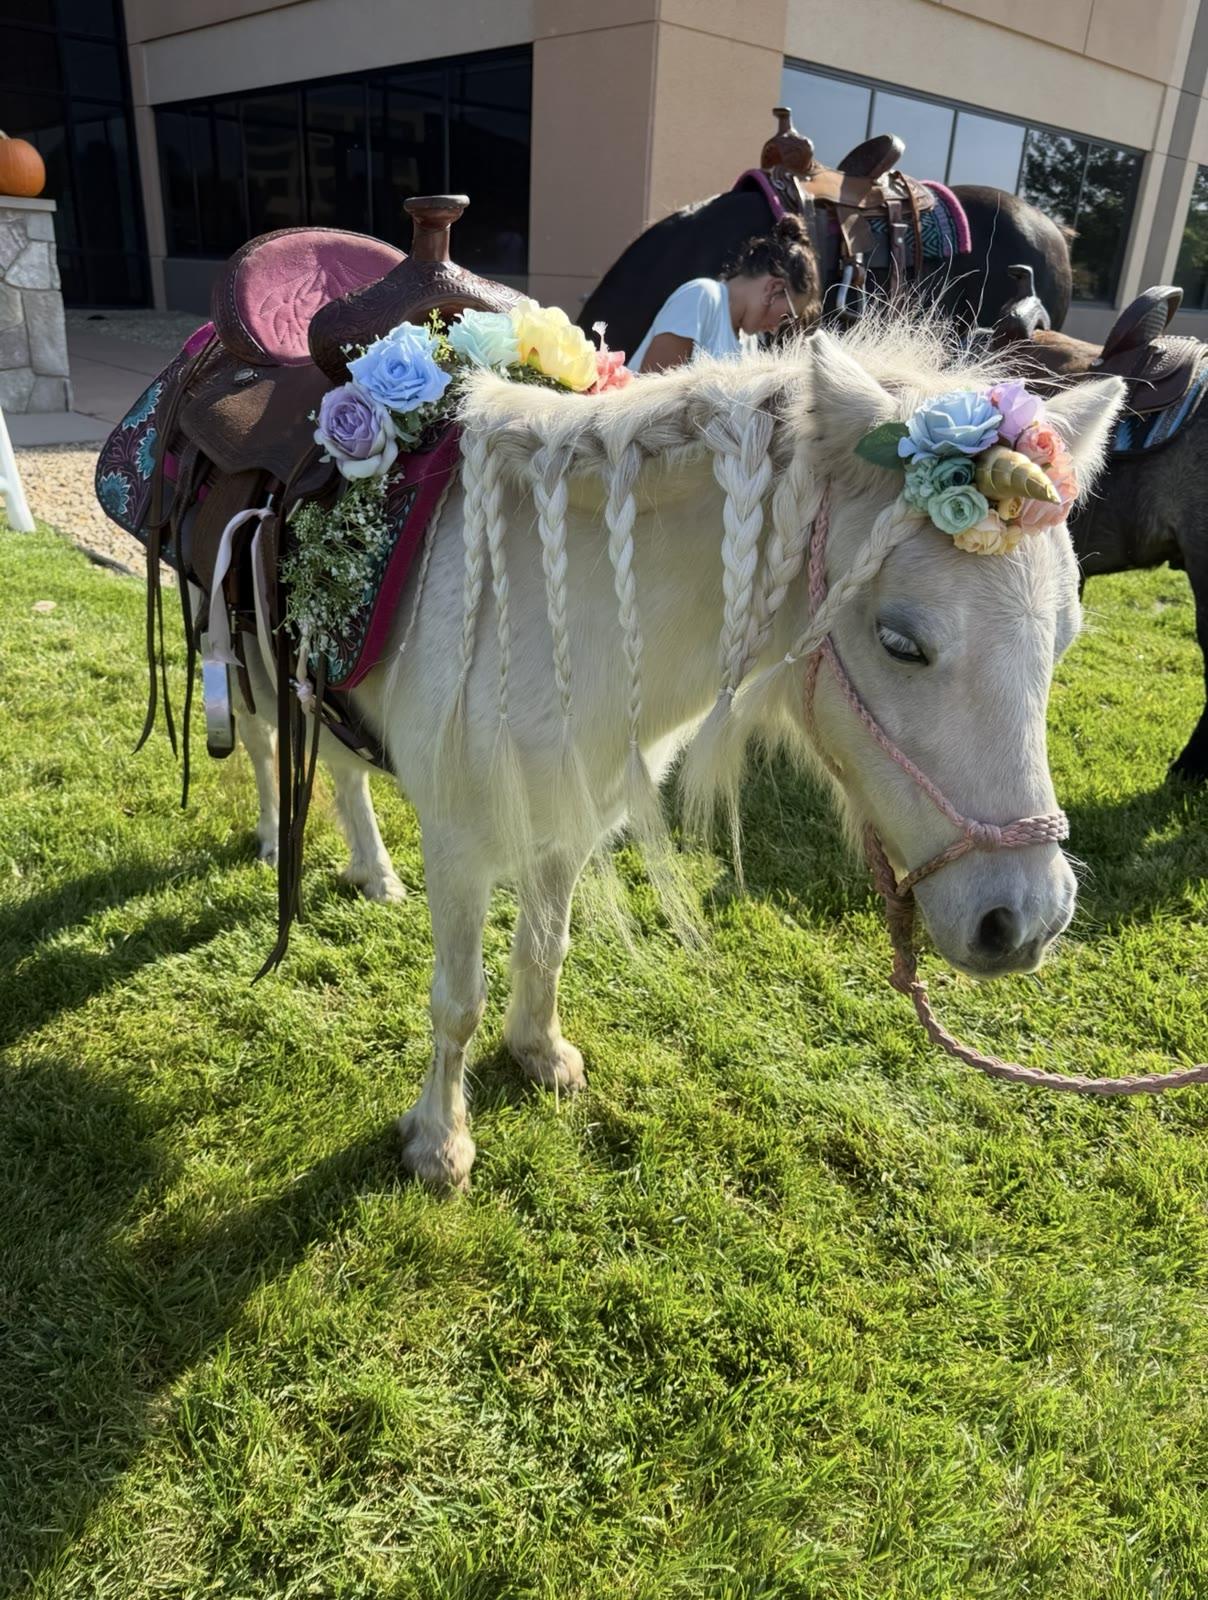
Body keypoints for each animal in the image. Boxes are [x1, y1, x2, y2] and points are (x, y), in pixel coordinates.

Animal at [223, 319, 1122, 1190]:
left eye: (1065, 639)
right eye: (901, 642)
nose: (1028, 922)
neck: (563, 608)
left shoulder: (572, 820)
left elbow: (545, 948)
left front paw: (539, 1052)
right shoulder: (458, 846)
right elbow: (457, 1000)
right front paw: (439, 1143)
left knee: (342, 769)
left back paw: (373, 871)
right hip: (246, 663)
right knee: (266, 750)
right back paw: (273, 840)